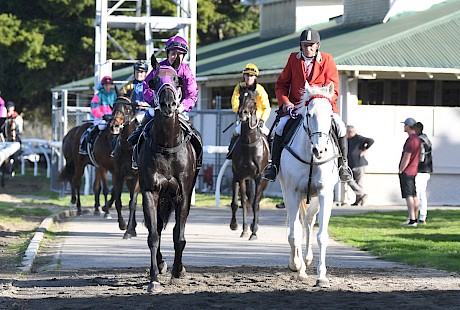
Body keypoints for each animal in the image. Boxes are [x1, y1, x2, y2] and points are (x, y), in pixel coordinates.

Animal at [103, 95, 140, 236]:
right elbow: (118, 200)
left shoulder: (138, 176)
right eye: (113, 106)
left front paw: (128, 231)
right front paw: (123, 224)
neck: (128, 147)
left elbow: (133, 202)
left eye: (128, 108)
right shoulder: (118, 174)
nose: (115, 126)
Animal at [137, 55, 200, 294]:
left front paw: (177, 271)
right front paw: (154, 279)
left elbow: (179, 236)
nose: (168, 104)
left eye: (176, 79)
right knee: (156, 227)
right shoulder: (150, 192)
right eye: (154, 80)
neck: (166, 146)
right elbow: (153, 235)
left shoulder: (183, 195)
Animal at [229, 86, 270, 241]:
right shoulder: (240, 176)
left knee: (256, 199)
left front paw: (253, 232)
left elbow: (255, 204)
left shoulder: (259, 178)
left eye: (253, 98)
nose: (243, 113)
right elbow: (242, 201)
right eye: (240, 97)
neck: (249, 144)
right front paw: (243, 229)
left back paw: (254, 226)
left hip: (264, 180)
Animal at [278, 80, 340, 288]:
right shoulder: (292, 193)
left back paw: (307, 258)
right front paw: (298, 268)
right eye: (309, 114)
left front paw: (321, 276)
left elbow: (321, 235)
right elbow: (293, 233)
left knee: (308, 222)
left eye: (330, 115)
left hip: (312, 200)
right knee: (297, 225)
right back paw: (297, 262)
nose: (319, 150)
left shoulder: (324, 194)